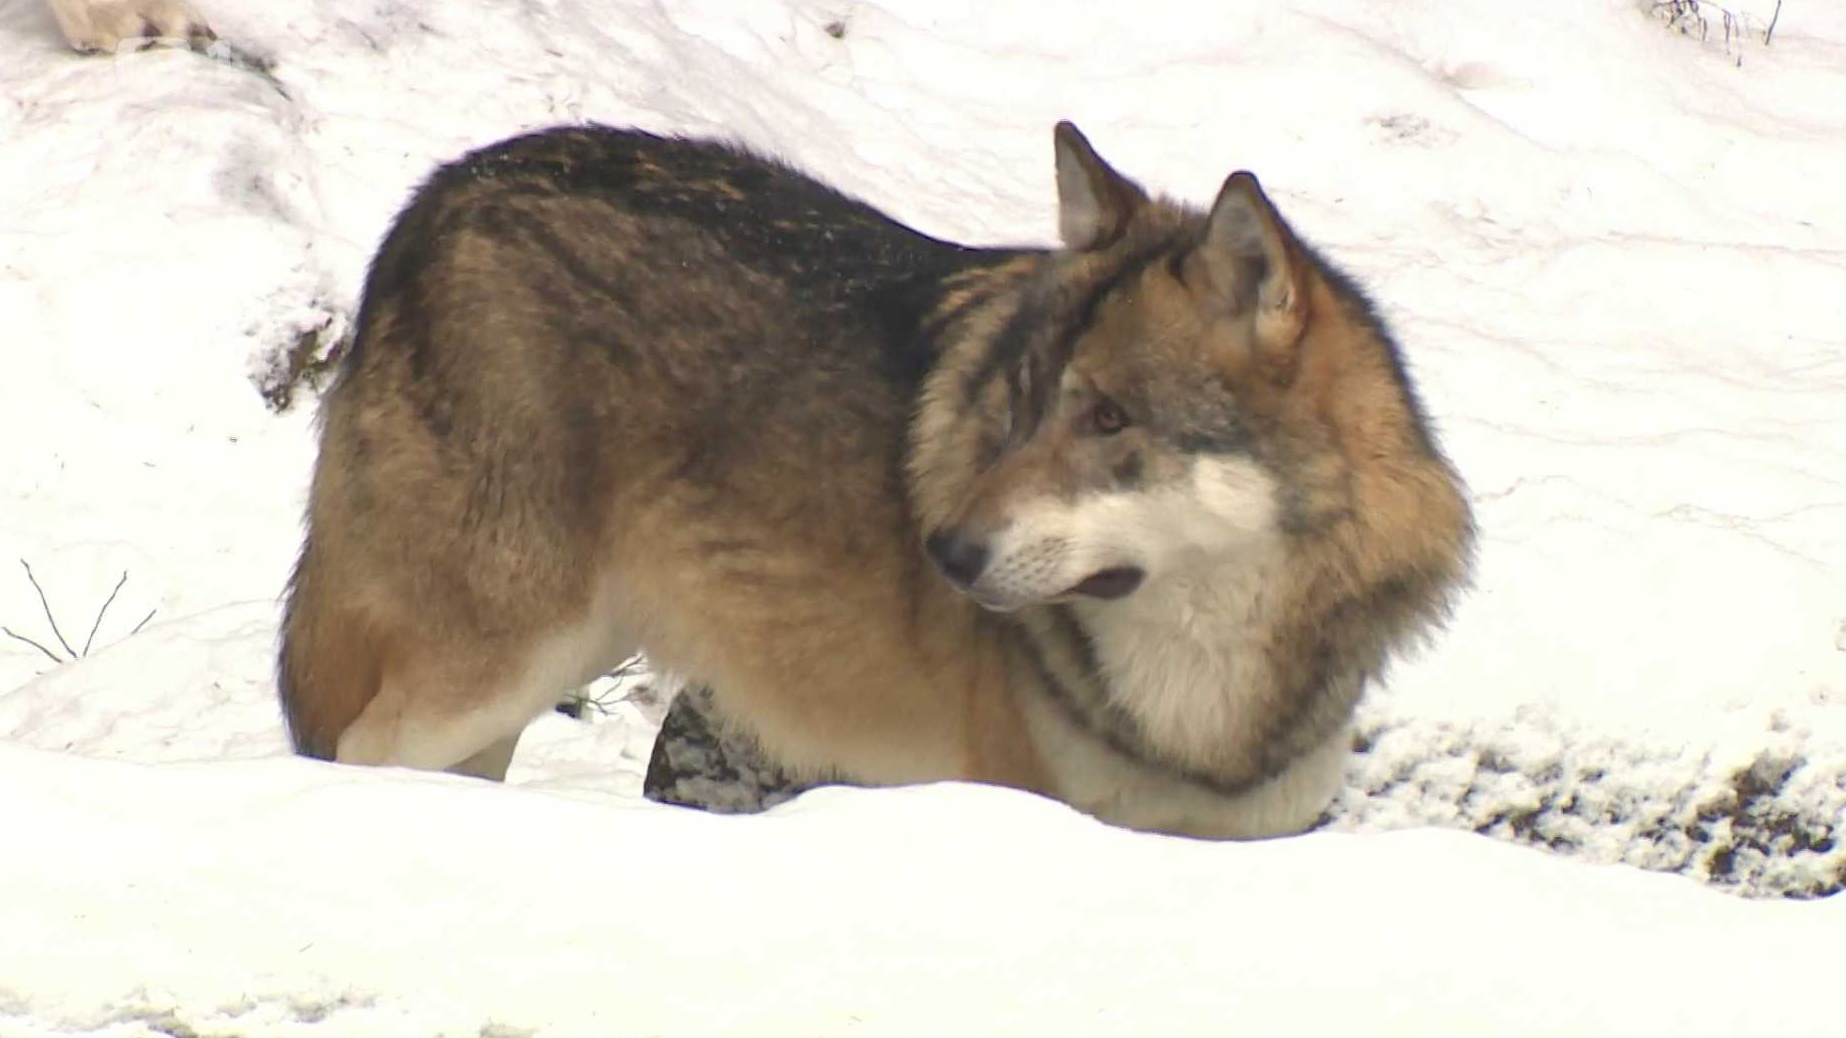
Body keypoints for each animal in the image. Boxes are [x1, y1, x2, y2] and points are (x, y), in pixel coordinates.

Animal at [276, 119, 1469, 831]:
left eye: (1106, 418)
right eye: (1016, 404)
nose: (943, 550)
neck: (1204, 705)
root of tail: (436, 193)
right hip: (500, 656)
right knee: (353, 749)